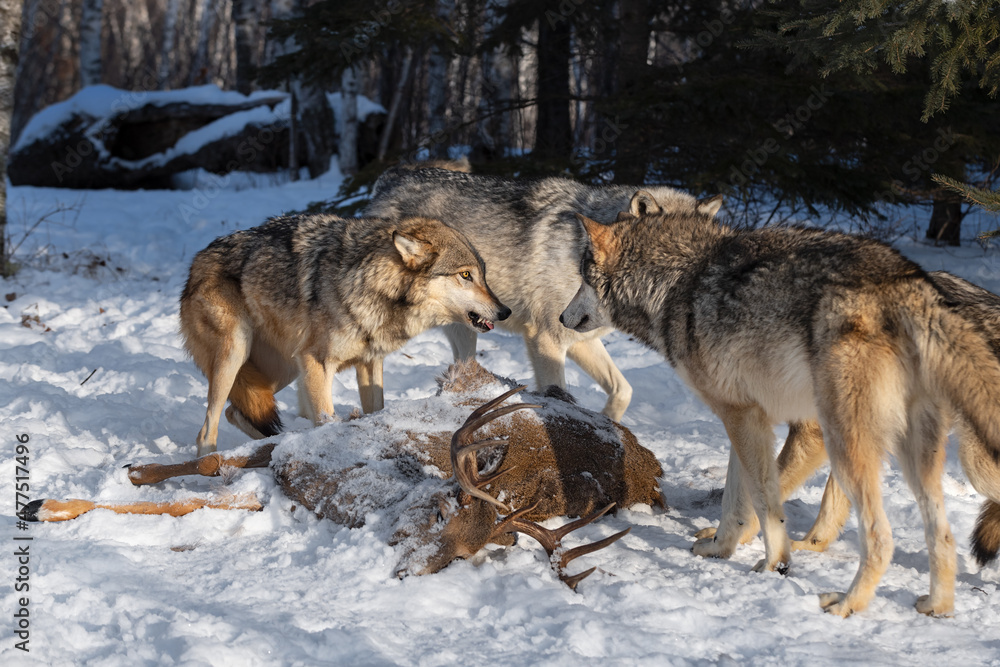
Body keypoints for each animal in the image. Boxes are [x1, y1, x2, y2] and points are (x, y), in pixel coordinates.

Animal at [22, 361, 665, 589]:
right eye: (441, 511)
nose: (408, 573)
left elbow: (207, 497)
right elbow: (211, 463)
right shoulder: (308, 445)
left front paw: (48, 505)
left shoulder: (292, 488)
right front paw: (116, 477)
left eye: (463, 557)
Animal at [180, 212, 510, 456]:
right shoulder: (316, 363)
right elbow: (325, 419)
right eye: (465, 275)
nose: (504, 311)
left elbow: (375, 410)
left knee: (235, 412)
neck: (369, 284)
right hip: (237, 354)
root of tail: (196, 261)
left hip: (283, 370)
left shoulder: (369, 364)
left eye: (483, 274)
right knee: (206, 430)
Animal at [365, 167, 721, 421]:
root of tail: (389, 177)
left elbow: (624, 391)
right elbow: (557, 393)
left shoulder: (579, 339)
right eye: (672, 250)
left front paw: (609, 422)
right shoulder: (547, 338)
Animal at [560, 192, 1000, 617]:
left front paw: (775, 564)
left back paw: (846, 605)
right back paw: (937, 607)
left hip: (858, 447)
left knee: (881, 537)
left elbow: (764, 500)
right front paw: (720, 547)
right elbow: (736, 498)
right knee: (942, 535)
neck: (680, 279)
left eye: (582, 276)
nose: (563, 318)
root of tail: (913, 286)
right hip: (919, 457)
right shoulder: (744, 416)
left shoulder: (746, 418)